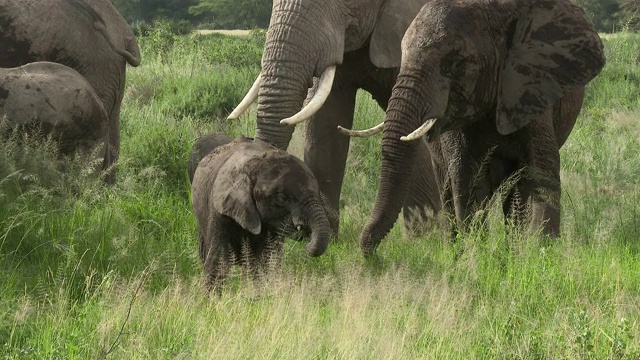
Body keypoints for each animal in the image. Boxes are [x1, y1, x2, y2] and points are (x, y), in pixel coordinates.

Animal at [358, 0, 608, 255]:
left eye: (455, 63)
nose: (371, 255)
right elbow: (467, 176)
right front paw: (477, 251)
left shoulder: (532, 89)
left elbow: (540, 170)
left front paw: (540, 251)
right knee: (448, 191)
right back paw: (455, 251)